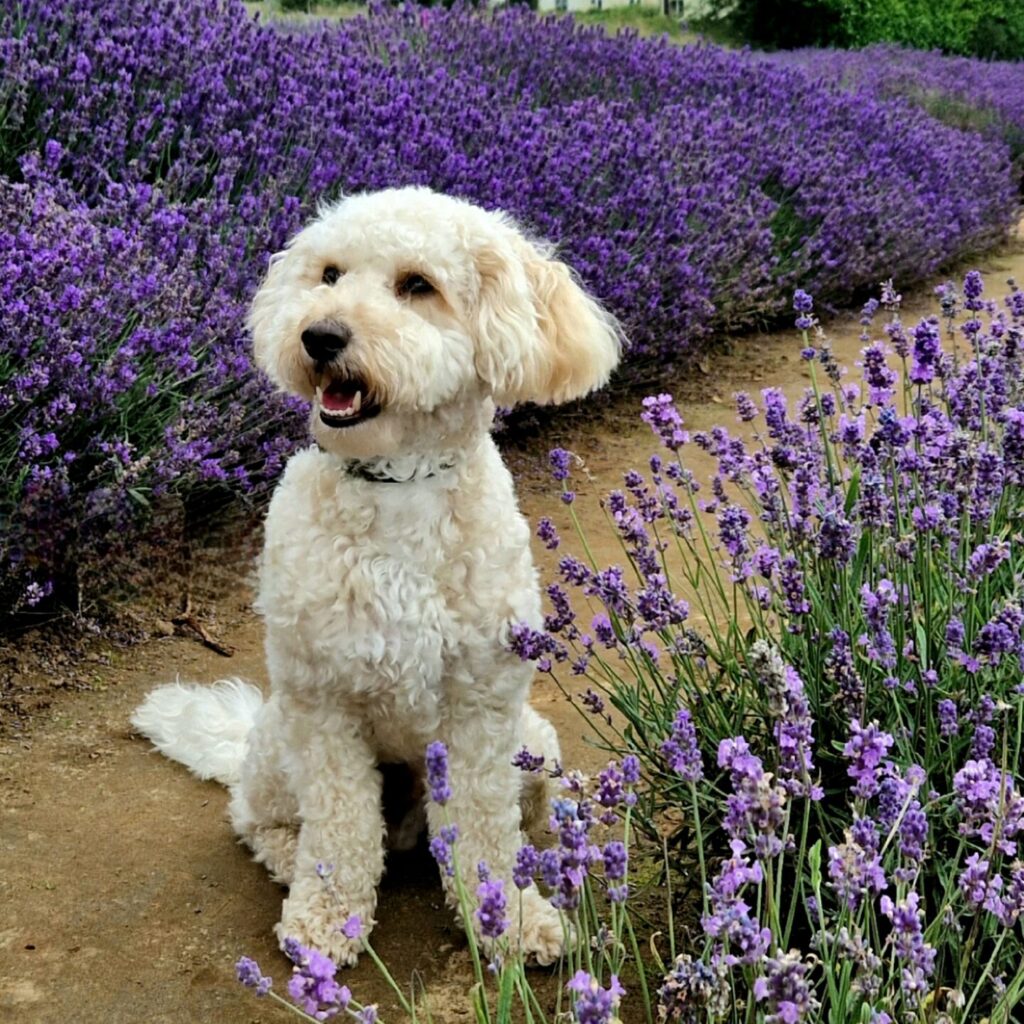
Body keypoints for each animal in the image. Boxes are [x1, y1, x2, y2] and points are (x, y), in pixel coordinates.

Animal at [132, 186, 618, 966]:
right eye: (329, 274)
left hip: (533, 743)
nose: (319, 336)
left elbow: (485, 828)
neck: (398, 483)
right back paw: (293, 857)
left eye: (417, 285)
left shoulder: (482, 712)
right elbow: (341, 825)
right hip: (281, 744)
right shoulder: (325, 706)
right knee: (258, 818)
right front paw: (327, 920)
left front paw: (511, 918)